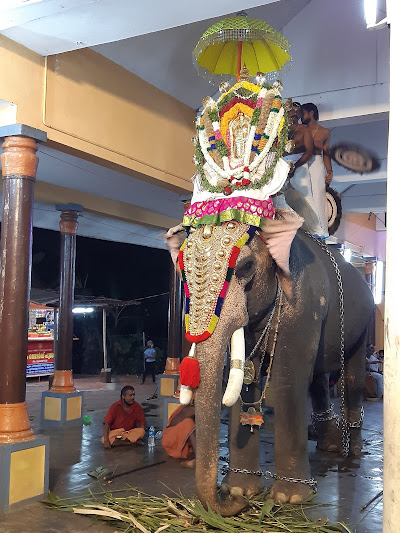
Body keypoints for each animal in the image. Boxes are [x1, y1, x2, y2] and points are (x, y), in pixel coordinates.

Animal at [165, 210, 372, 516]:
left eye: (246, 266)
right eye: (182, 271)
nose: (234, 504)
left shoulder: (303, 304)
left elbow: (289, 380)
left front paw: (289, 498)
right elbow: (245, 378)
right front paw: (241, 490)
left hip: (364, 322)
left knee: (353, 378)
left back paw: (353, 452)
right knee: (319, 379)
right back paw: (330, 447)